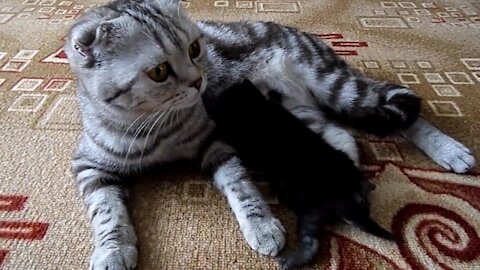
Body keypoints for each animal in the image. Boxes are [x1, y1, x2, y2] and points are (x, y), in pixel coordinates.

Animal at [202, 80, 394, 270]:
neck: (255, 104)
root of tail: (344, 199)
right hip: (318, 204)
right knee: (313, 239)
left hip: (309, 207)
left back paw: (289, 261)